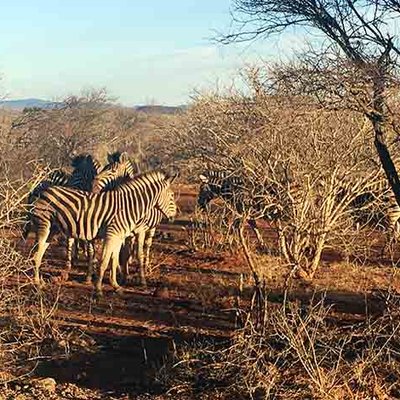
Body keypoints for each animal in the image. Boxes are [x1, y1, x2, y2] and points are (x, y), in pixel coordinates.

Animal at [26, 170, 177, 296]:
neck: (128, 207)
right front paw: (98, 289)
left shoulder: (119, 237)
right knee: (36, 255)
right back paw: (37, 284)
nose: (175, 215)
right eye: (172, 196)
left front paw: (116, 286)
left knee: (38, 253)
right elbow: (104, 262)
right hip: (44, 225)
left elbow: (114, 260)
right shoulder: (112, 235)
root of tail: (40, 190)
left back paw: (40, 282)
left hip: (52, 229)